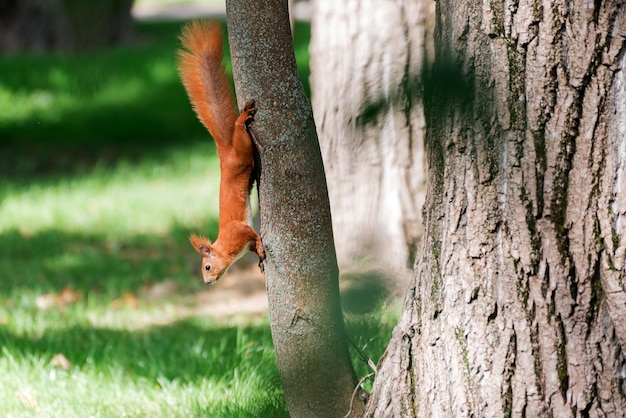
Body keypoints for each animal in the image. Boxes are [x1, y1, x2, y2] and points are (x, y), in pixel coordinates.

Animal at [178, 19, 264, 282]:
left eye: (206, 266)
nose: (207, 282)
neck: (225, 248)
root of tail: (225, 151)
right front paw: (259, 257)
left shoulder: (239, 232)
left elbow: (253, 234)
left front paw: (261, 248)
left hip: (242, 152)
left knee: (240, 133)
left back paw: (241, 119)